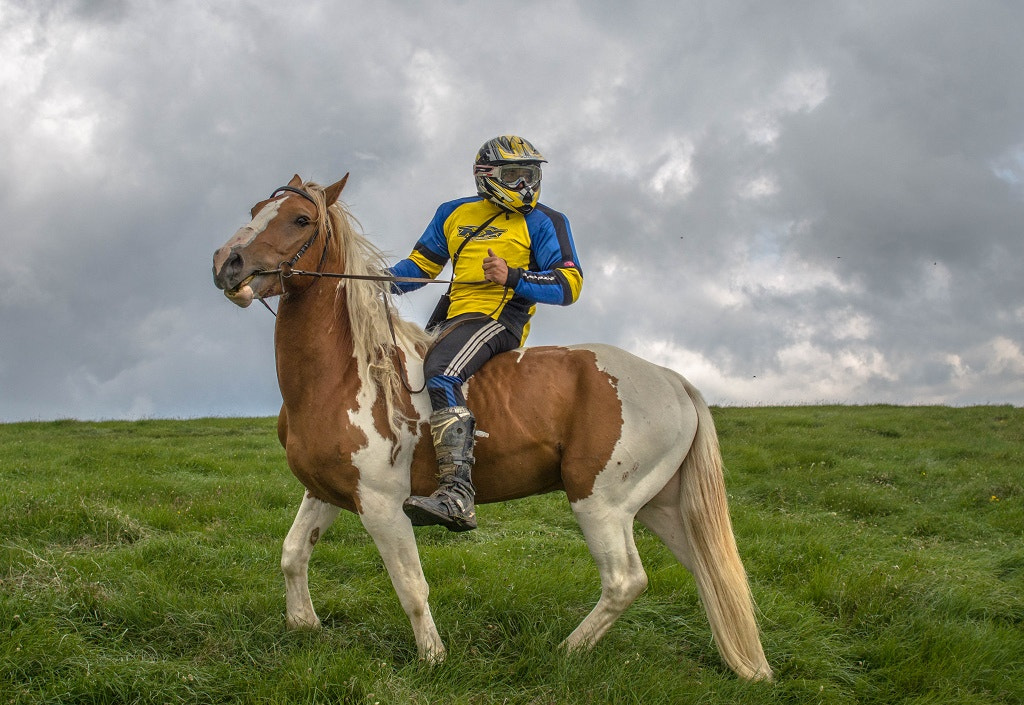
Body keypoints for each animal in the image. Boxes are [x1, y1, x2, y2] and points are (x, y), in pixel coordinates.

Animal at [216, 173, 770, 680]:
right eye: (257, 209)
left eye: (300, 219)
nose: (227, 263)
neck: (347, 373)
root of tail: (673, 380)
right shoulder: (326, 491)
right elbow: (292, 553)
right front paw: (303, 625)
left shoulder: (381, 504)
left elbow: (411, 586)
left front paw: (434, 659)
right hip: (660, 504)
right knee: (707, 568)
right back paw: (743, 664)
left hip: (601, 503)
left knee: (625, 581)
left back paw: (564, 653)